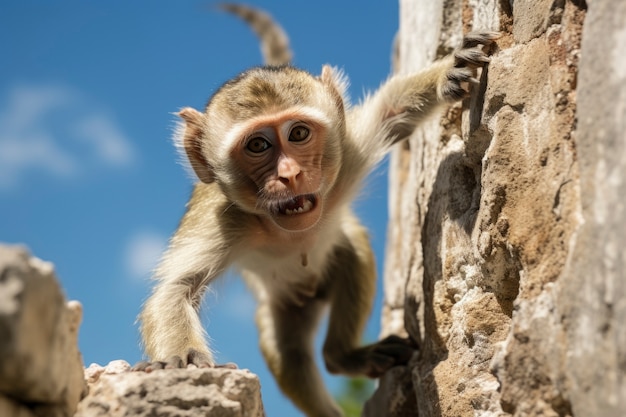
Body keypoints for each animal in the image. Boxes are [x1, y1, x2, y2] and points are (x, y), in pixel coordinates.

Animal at [133, 4, 498, 416]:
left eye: (298, 134)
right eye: (257, 145)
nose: (290, 174)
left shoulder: (347, 151)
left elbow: (394, 110)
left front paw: (449, 71)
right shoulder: (225, 221)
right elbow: (176, 289)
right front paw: (182, 360)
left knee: (352, 250)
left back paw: (345, 354)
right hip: (289, 307)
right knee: (288, 353)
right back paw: (334, 364)